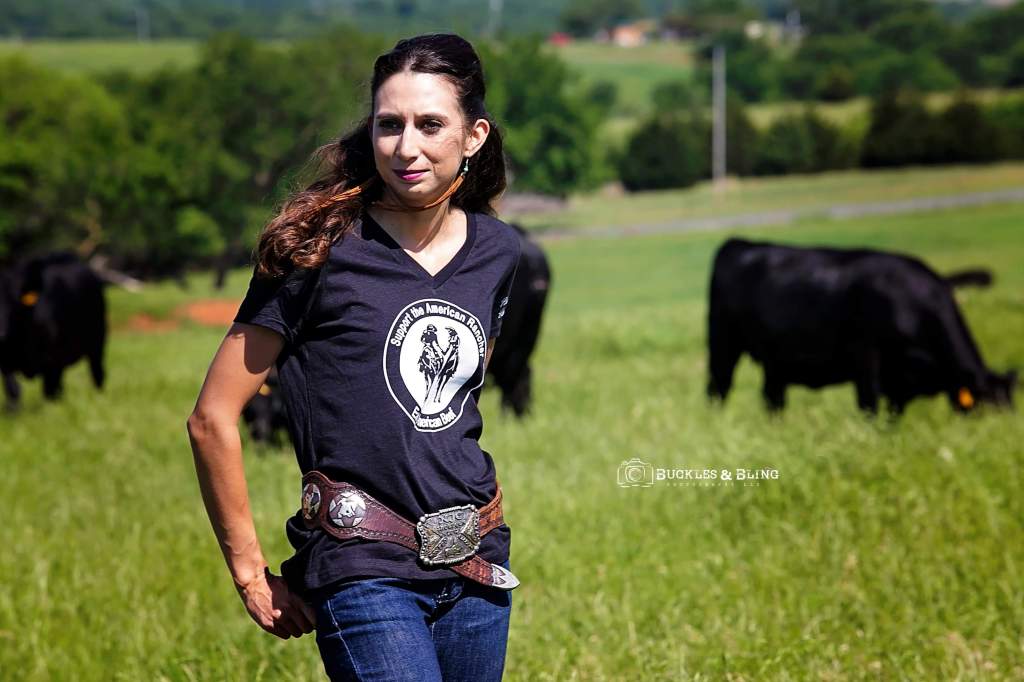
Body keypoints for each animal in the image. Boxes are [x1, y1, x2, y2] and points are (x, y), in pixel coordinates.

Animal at [0, 251, 108, 411]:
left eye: (13, 300)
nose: (1, 334)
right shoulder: (6, 362)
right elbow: (13, 391)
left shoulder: (52, 361)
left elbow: (49, 392)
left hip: (97, 344)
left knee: (97, 373)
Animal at [706, 238, 1016, 416]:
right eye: (987, 408)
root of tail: (739, 242)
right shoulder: (866, 355)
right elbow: (869, 404)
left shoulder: (898, 381)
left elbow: (893, 413)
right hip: (723, 345)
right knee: (718, 388)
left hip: (776, 363)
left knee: (773, 399)